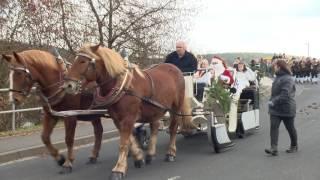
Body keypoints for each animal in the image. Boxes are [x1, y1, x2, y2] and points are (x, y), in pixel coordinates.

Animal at [63, 44, 195, 180]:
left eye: (83, 61)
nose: (68, 85)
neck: (123, 86)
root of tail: (175, 68)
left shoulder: (128, 118)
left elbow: (124, 143)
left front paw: (119, 169)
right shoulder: (117, 119)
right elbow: (130, 140)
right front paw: (138, 157)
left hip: (176, 107)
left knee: (173, 127)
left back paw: (170, 153)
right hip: (155, 109)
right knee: (155, 126)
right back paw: (150, 154)